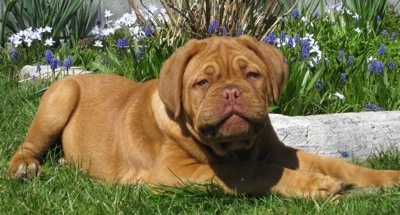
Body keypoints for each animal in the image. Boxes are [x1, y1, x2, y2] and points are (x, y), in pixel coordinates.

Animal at [7, 34, 400, 198]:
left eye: (252, 75)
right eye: (203, 82)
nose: (231, 92)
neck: (234, 146)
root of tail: (81, 74)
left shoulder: (278, 152)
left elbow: (337, 163)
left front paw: (386, 178)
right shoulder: (175, 172)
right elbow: (251, 172)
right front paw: (316, 185)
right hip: (60, 98)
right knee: (27, 145)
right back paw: (26, 168)